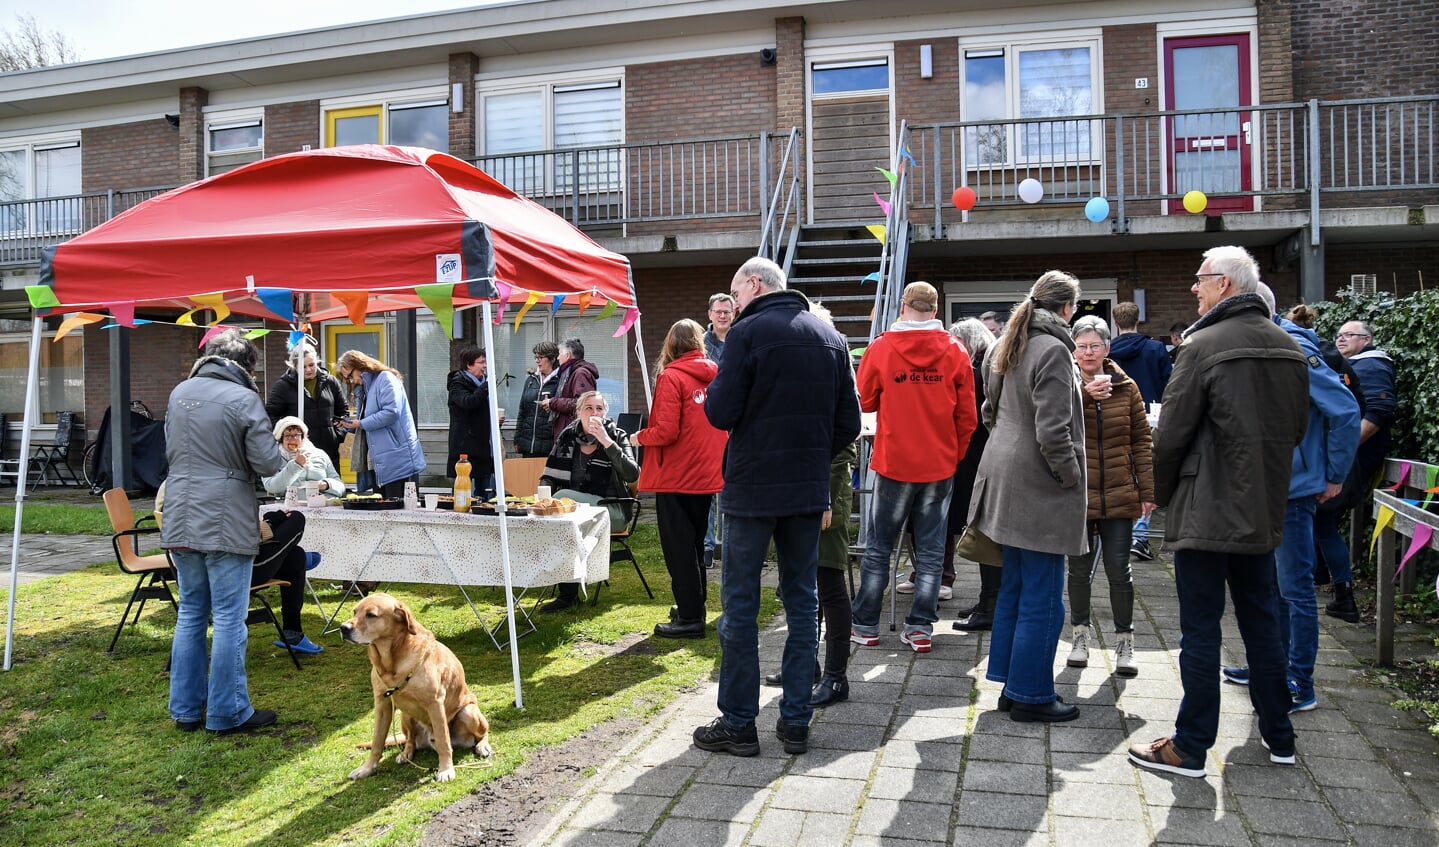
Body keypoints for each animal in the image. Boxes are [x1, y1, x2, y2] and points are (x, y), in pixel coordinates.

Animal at [342, 586, 495, 782]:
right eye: (354, 611)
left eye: (371, 615)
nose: (343, 628)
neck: (391, 663)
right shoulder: (382, 705)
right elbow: (377, 742)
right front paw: (367, 768)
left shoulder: (435, 704)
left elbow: (444, 742)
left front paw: (446, 769)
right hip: (405, 715)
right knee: (410, 740)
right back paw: (406, 753)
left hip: (469, 712)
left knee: (482, 733)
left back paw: (482, 746)